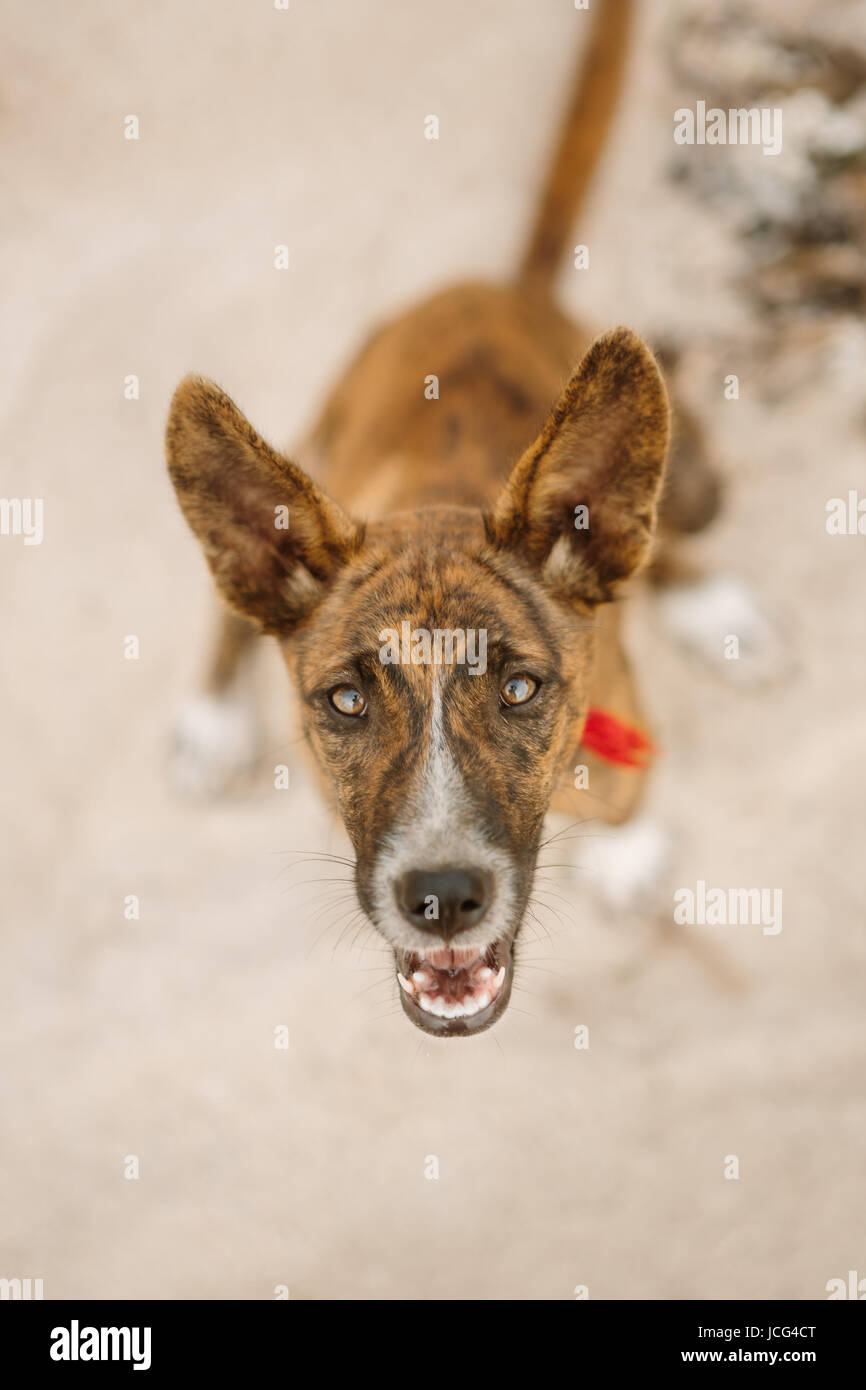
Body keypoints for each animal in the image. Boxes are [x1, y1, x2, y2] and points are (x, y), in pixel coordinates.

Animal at [162, 0, 717, 1034]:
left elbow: (631, 793)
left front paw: (628, 849)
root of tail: (496, 287)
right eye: (345, 700)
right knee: (229, 605)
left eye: (521, 689)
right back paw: (212, 721)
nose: (444, 898)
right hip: (314, 432)